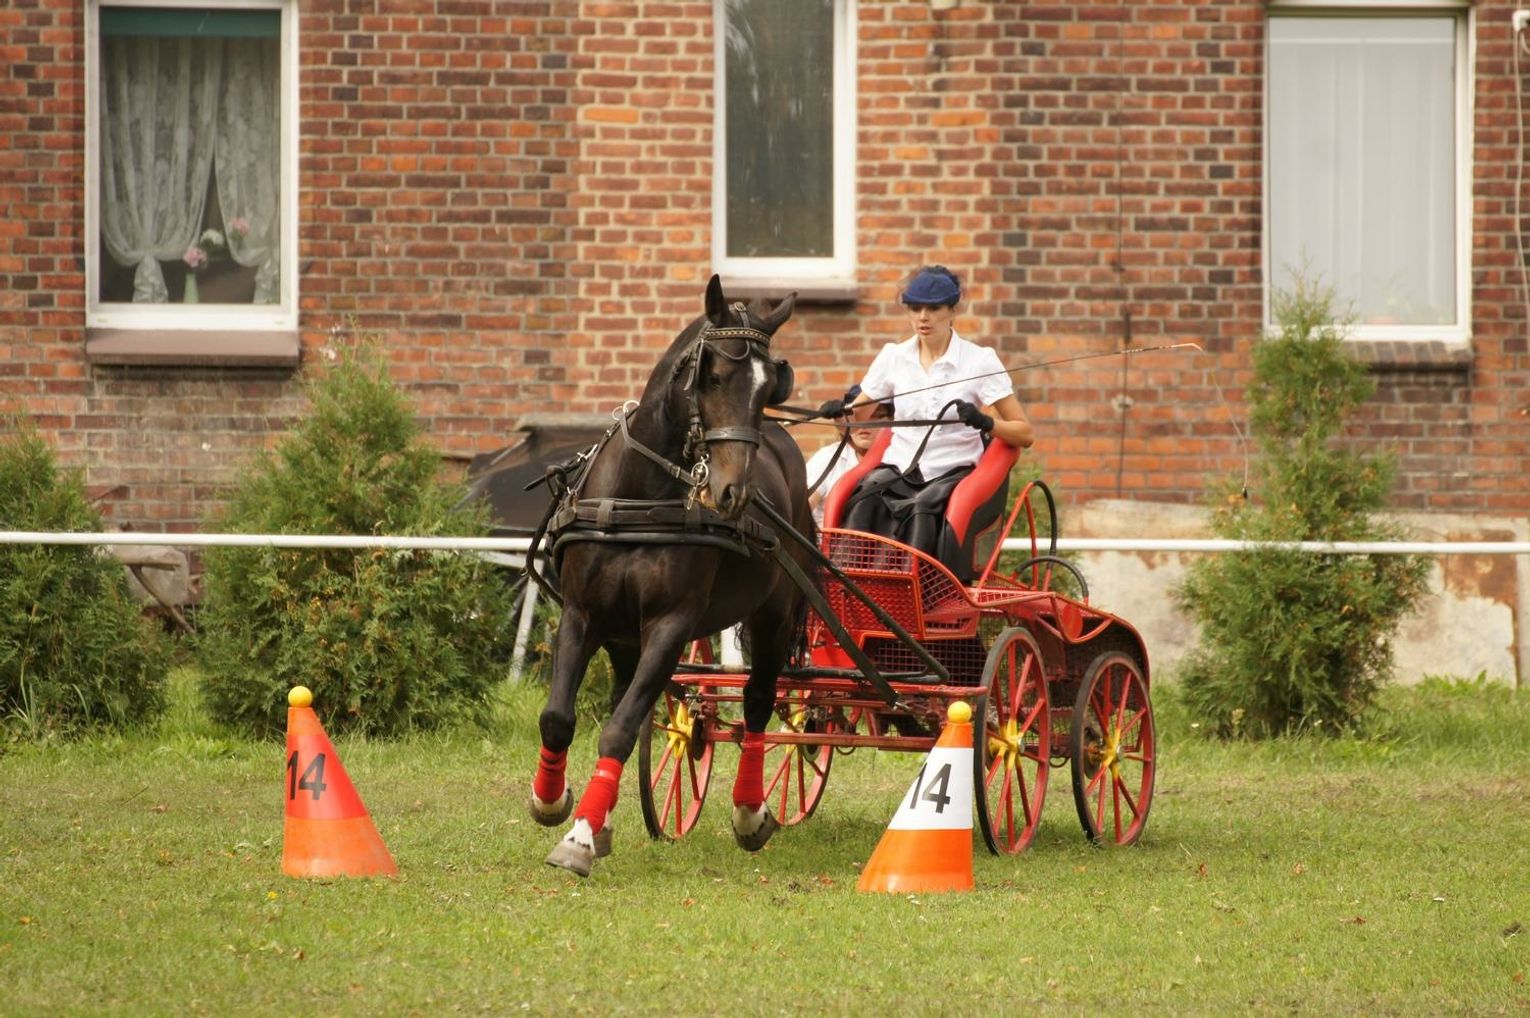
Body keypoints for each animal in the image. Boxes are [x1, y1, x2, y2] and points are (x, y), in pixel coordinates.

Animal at [528, 274, 814, 877]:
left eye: (766, 391)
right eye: (713, 375)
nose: (732, 493)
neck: (640, 496)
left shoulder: (670, 625)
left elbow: (619, 729)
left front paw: (579, 837)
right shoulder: (582, 614)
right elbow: (560, 717)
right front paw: (554, 801)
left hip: (773, 616)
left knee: (758, 701)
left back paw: (750, 812)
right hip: (621, 635)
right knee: (623, 695)